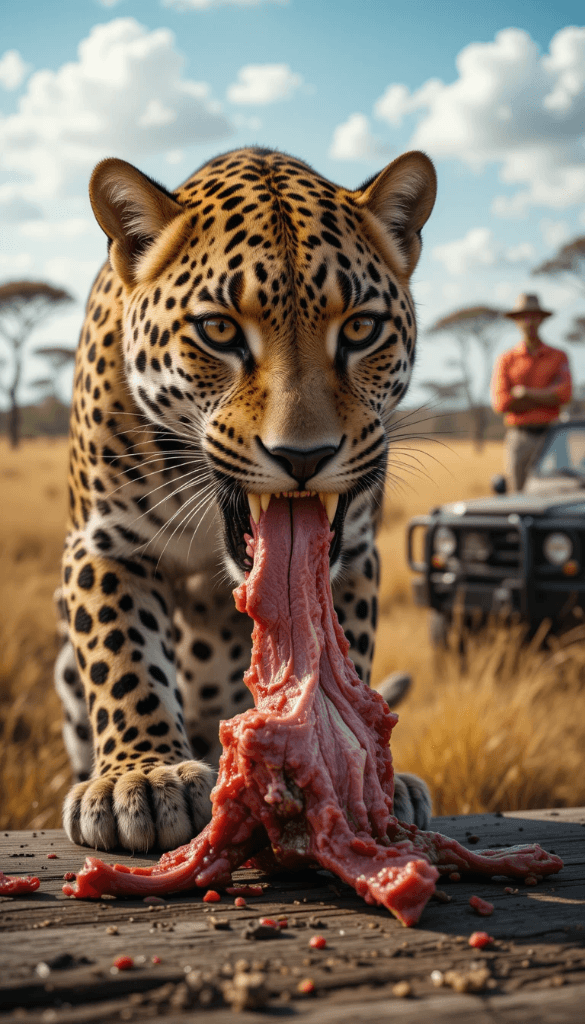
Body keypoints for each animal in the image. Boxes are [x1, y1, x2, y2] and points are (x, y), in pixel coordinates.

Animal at [54, 146, 437, 853]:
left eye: (361, 328)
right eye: (218, 330)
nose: (304, 457)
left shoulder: (355, 555)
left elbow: (338, 663)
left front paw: (359, 770)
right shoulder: (105, 541)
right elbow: (124, 657)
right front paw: (140, 779)